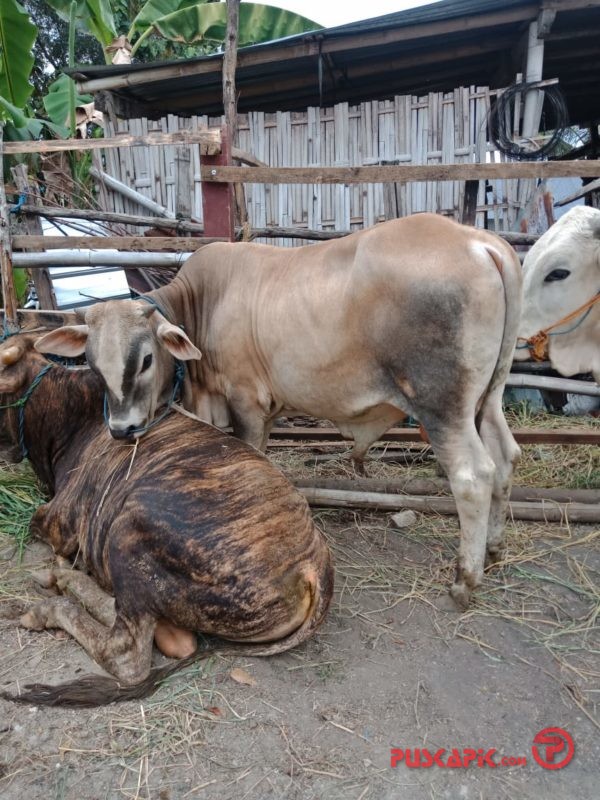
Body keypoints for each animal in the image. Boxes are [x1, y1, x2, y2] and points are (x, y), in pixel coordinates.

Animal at [0, 332, 332, 708]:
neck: (73, 415)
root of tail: (312, 565)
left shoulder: (60, 520)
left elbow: (37, 523)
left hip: (128, 529)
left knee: (126, 650)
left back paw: (51, 599)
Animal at [38, 212, 524, 608]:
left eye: (144, 360)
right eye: (92, 364)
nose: (122, 429)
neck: (205, 303)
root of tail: (478, 241)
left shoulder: (246, 402)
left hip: (443, 408)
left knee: (473, 476)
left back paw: (465, 580)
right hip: (487, 400)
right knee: (505, 458)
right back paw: (494, 549)